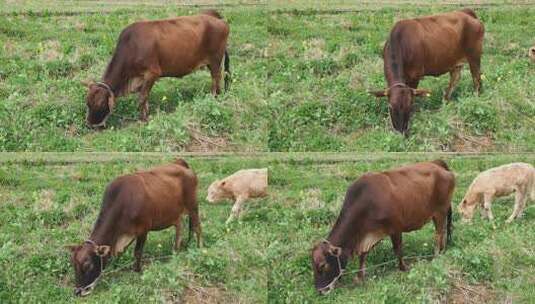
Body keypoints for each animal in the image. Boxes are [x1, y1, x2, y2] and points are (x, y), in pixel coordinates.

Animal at [67, 158, 201, 296]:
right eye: (73, 264)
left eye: (88, 265)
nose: (78, 291)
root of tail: (181, 163)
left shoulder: (143, 229)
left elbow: (137, 252)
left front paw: (137, 270)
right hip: (176, 213)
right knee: (181, 227)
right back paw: (178, 249)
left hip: (193, 206)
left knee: (197, 227)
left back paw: (198, 247)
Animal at [85, 10, 231, 127]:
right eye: (87, 103)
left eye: (100, 103)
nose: (90, 124)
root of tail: (215, 17)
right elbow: (144, 98)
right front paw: (146, 114)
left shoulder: (152, 73)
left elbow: (142, 98)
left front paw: (143, 119)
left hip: (215, 60)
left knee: (216, 77)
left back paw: (214, 97)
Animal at [312, 160, 454, 294]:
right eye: (312, 265)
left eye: (322, 265)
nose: (320, 291)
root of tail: (437, 163)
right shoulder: (369, 235)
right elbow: (363, 255)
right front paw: (359, 277)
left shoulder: (396, 228)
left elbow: (398, 249)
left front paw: (403, 268)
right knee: (443, 231)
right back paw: (442, 250)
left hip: (440, 211)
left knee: (439, 233)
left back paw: (436, 256)